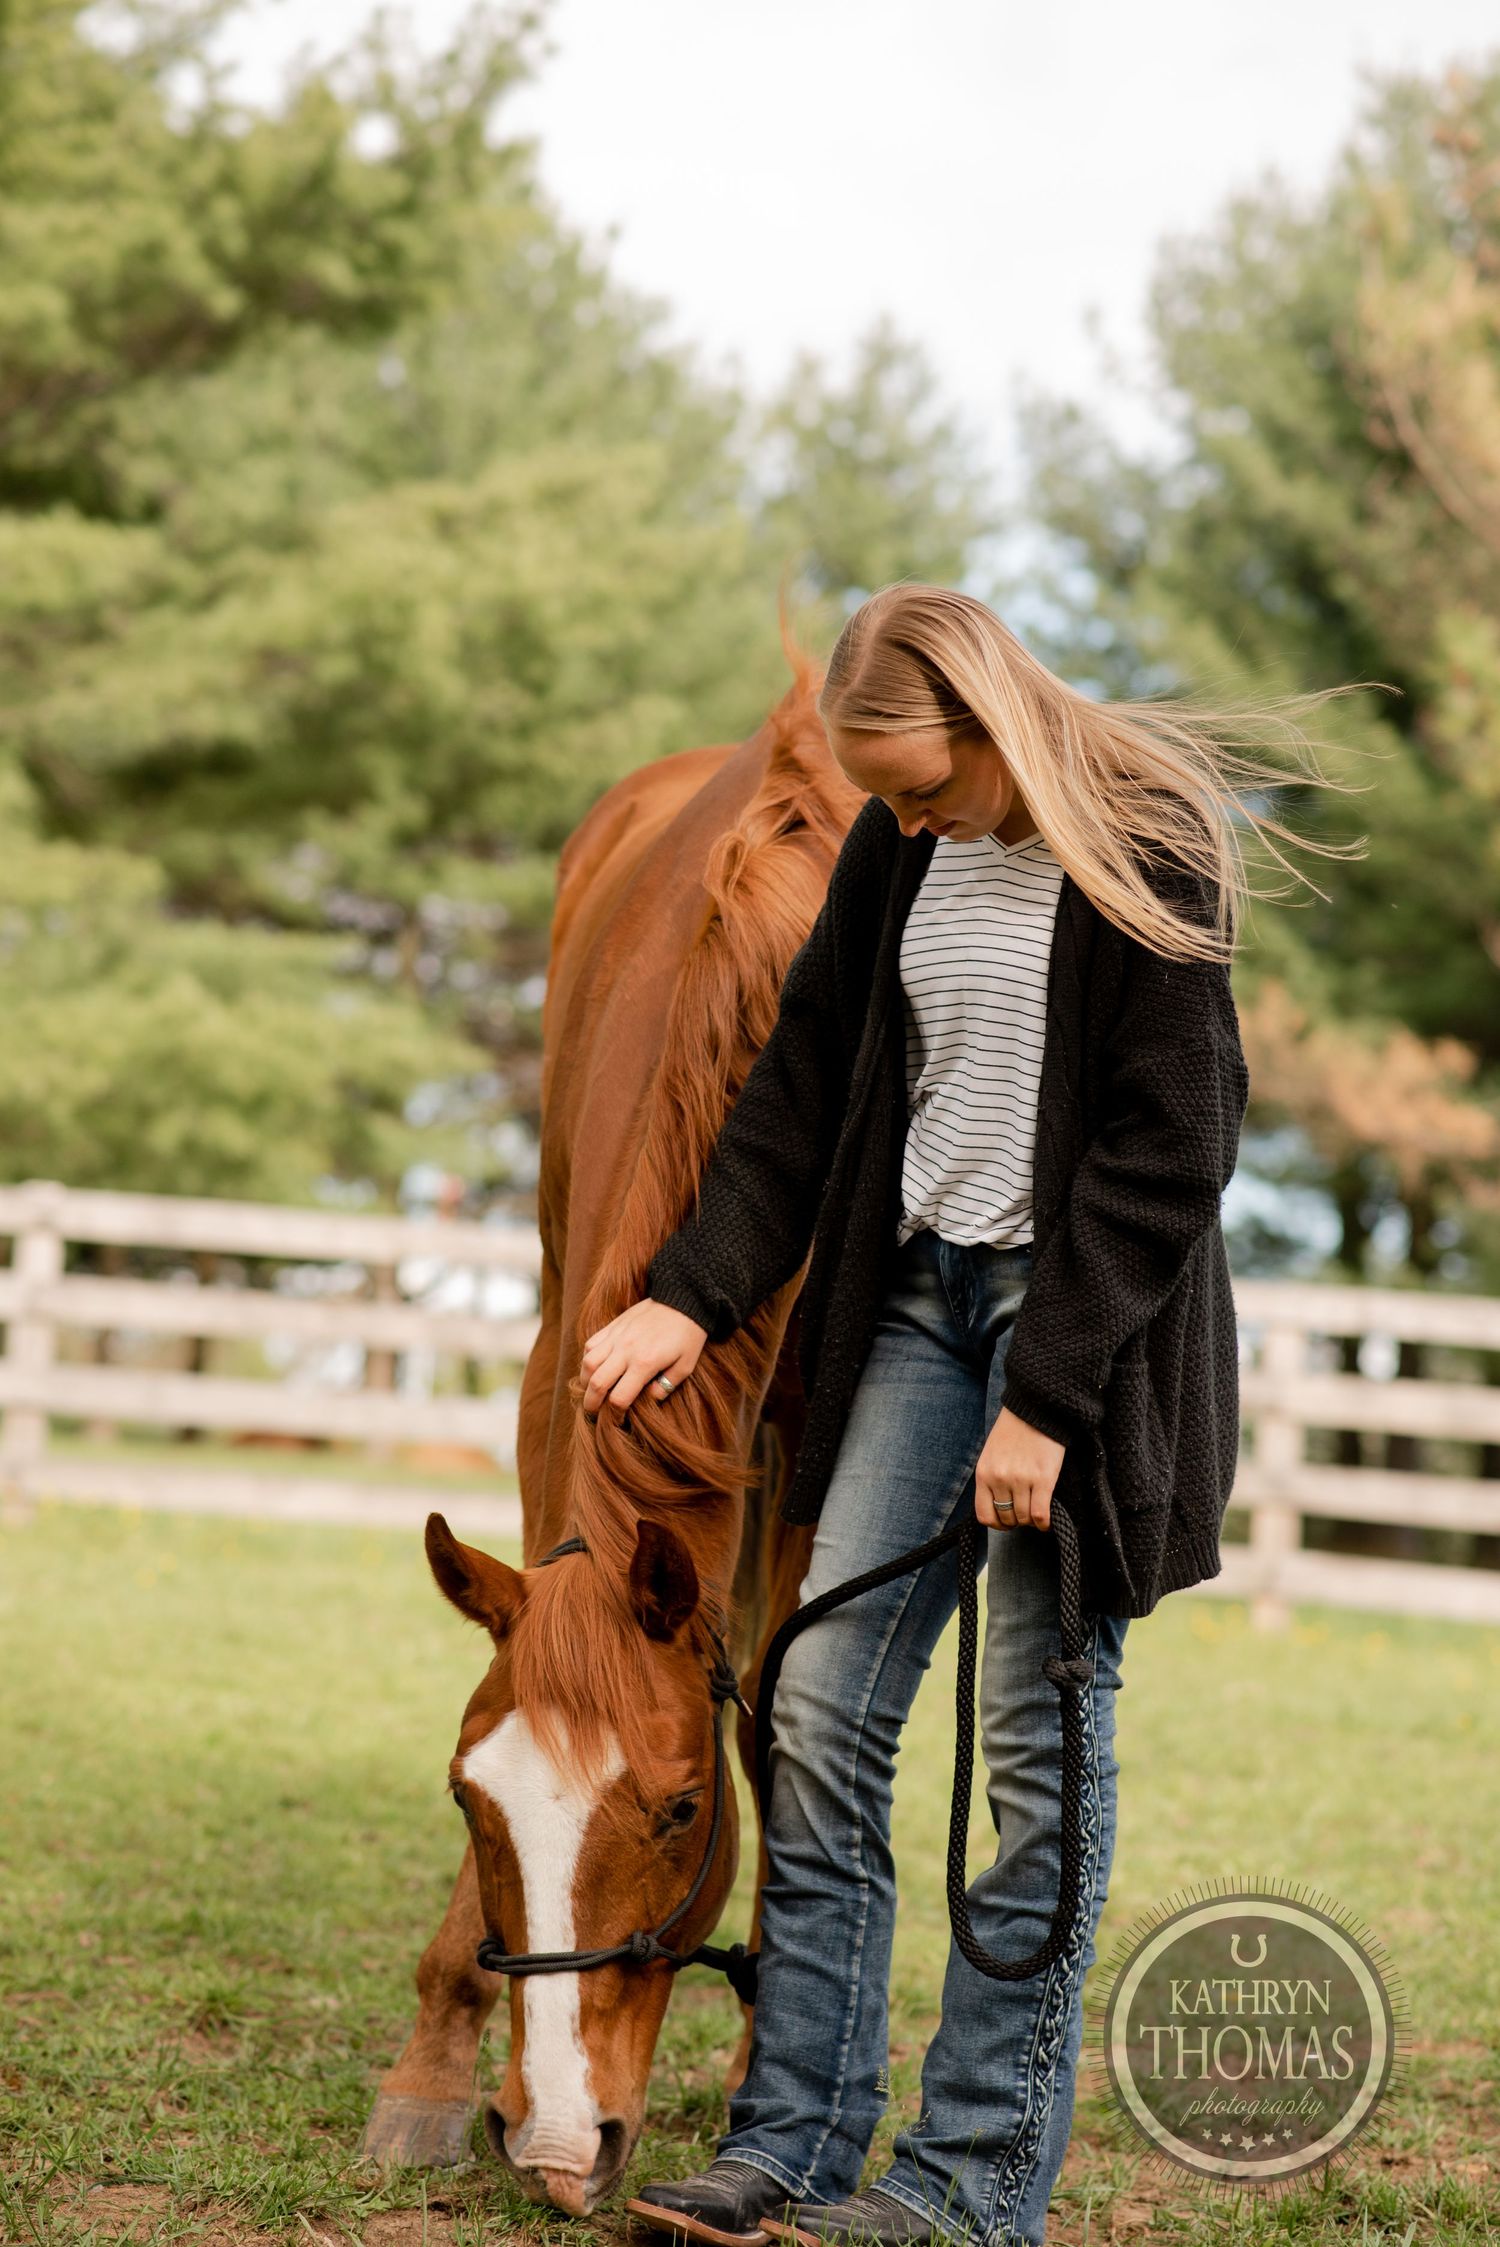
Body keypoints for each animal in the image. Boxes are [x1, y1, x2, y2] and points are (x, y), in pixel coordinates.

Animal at [358, 636, 867, 2215]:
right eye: (469, 1804)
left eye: (681, 1813)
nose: (558, 2142)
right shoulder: (554, 1377)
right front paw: (431, 2065)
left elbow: (784, 1726)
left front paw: (782, 2064)